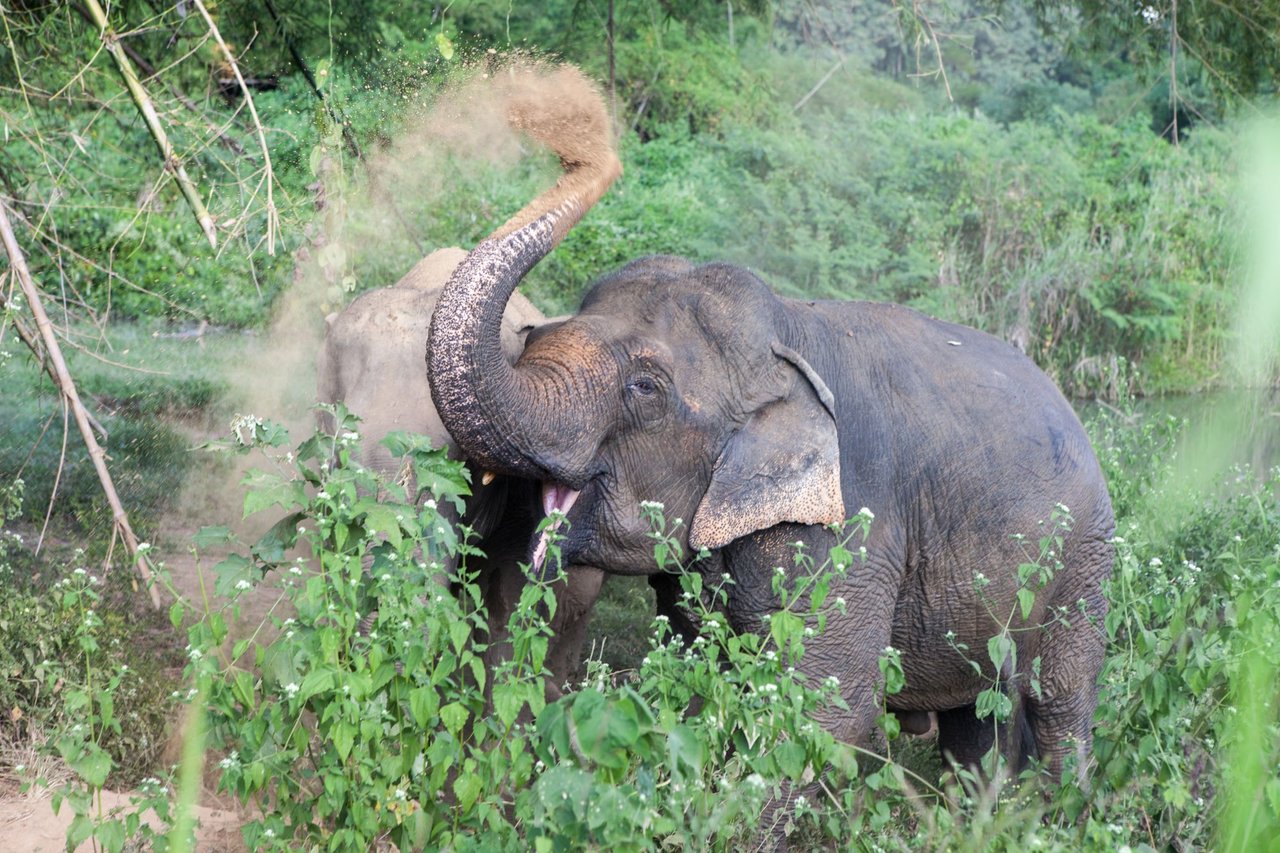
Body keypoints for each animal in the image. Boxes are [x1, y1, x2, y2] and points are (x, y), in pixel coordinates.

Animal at [427, 61, 1111, 799]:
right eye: (534, 336)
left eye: (645, 388)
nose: (577, 138)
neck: (785, 333)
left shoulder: (850, 529)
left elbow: (826, 712)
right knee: (974, 723)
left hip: (1085, 557)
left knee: (1059, 696)